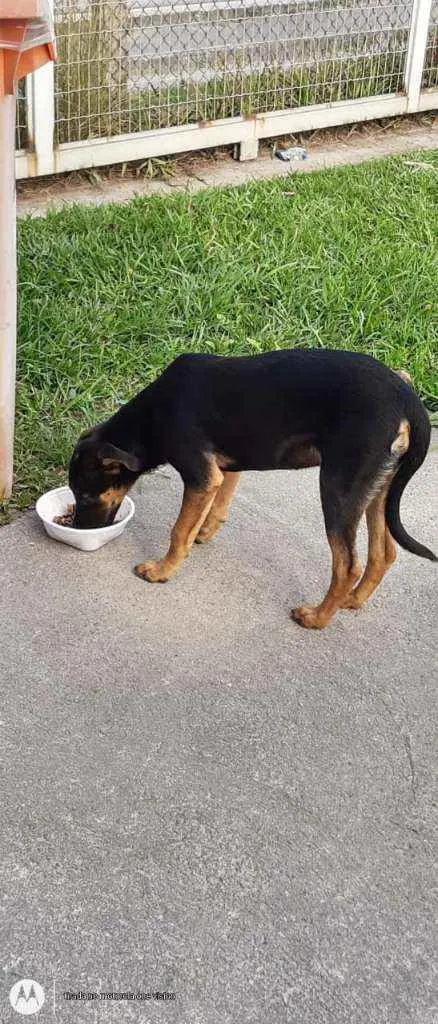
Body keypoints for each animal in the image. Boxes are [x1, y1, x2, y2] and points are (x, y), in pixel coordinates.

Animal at [67, 348, 433, 626]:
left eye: (84, 495)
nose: (79, 530)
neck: (151, 418)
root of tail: (407, 400)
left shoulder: (201, 475)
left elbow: (178, 531)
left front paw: (161, 570)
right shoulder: (225, 468)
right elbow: (218, 504)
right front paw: (205, 530)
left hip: (339, 487)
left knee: (347, 565)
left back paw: (316, 618)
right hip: (377, 487)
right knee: (383, 553)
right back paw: (353, 601)